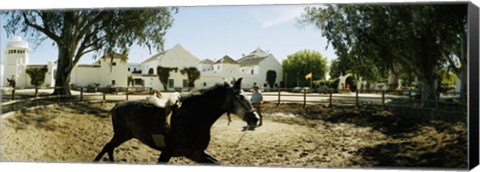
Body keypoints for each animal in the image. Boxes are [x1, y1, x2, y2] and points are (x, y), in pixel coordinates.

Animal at [93, 78, 258, 164]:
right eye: (240, 96)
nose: (255, 118)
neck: (193, 117)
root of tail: (117, 105)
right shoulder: (168, 152)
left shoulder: (195, 153)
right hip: (121, 135)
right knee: (107, 147)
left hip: (124, 136)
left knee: (109, 148)